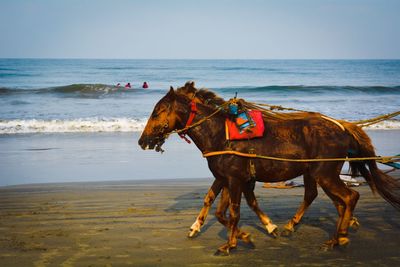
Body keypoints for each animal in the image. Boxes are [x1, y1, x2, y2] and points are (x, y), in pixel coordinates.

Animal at [138, 81, 400, 255]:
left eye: (158, 111)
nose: (143, 141)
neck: (221, 133)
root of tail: (342, 126)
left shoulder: (235, 179)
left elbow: (233, 212)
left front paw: (232, 243)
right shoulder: (227, 178)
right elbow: (218, 209)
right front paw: (241, 236)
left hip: (324, 173)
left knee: (349, 197)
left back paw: (341, 236)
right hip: (316, 173)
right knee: (326, 198)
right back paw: (327, 232)